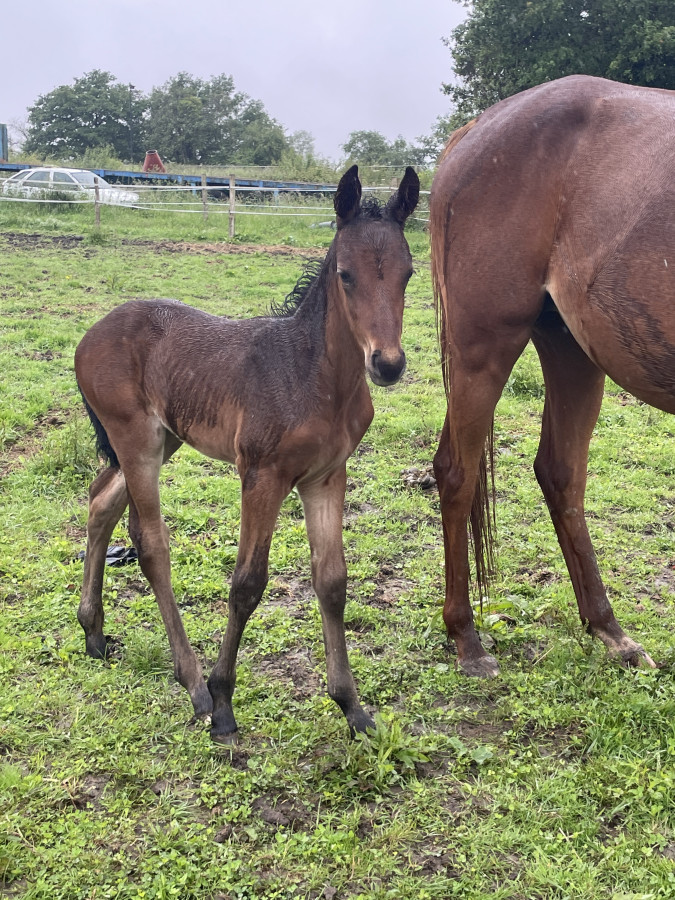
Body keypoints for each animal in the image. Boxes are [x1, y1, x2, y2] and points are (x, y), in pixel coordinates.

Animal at [76, 165, 420, 740]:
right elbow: (247, 584)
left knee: (102, 502)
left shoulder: (327, 476)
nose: (387, 364)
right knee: (151, 542)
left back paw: (93, 633)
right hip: (135, 440)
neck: (313, 376)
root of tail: (89, 335)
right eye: (346, 275)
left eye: (409, 274)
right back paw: (193, 686)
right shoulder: (261, 475)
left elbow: (332, 581)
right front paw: (223, 701)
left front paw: (351, 707)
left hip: (163, 438)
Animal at [430, 77, 672, 680]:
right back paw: (467, 638)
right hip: (483, 352)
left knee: (559, 474)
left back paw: (609, 630)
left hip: (571, 352)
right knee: (457, 474)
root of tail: (477, 129)